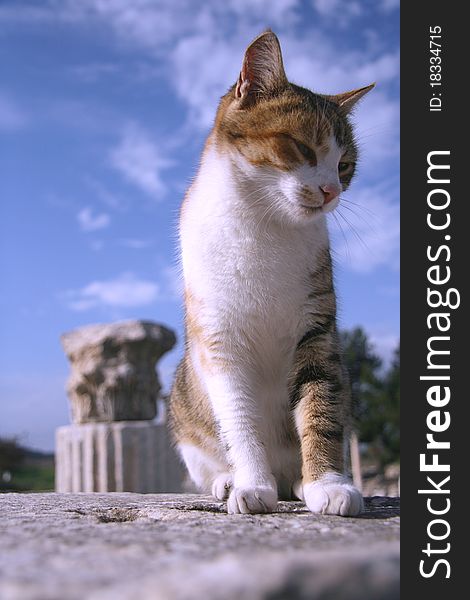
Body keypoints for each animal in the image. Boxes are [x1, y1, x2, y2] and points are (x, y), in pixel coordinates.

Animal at [170, 29, 374, 516]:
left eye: (345, 166)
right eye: (302, 147)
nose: (331, 190)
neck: (264, 226)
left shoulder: (317, 332)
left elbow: (321, 407)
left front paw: (328, 484)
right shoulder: (219, 341)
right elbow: (239, 419)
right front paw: (250, 485)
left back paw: (298, 481)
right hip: (185, 420)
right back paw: (228, 481)